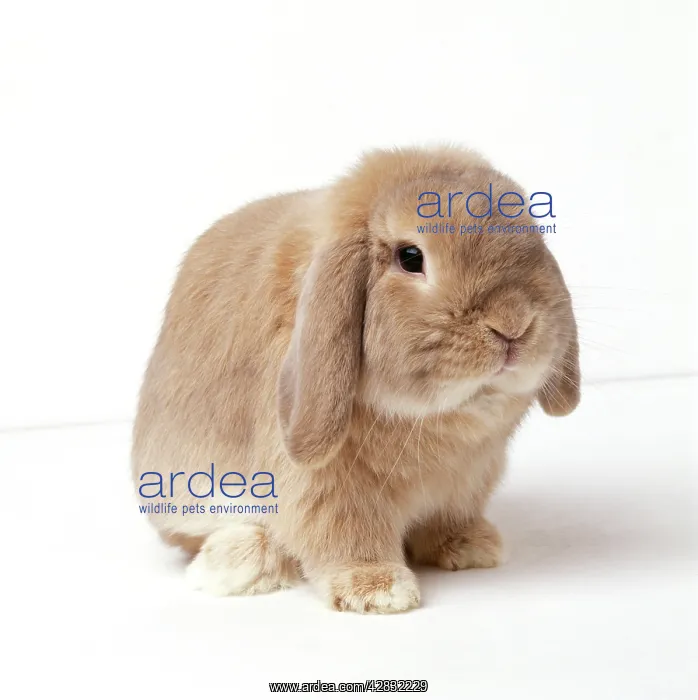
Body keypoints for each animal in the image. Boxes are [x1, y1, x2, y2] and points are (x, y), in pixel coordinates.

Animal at [132, 146, 580, 613]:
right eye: (411, 257)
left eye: (531, 236)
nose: (513, 323)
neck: (437, 418)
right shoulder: (325, 488)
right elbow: (343, 533)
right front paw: (378, 590)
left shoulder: (469, 479)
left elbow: (444, 520)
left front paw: (470, 546)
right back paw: (239, 562)